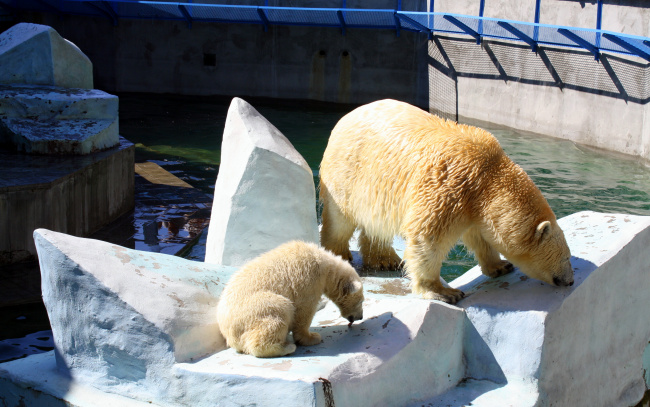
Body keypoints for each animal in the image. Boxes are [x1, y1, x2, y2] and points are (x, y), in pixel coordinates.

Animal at [318, 99, 572, 304]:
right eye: (567, 257)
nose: (569, 280)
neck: (489, 176)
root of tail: (344, 118)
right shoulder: (449, 188)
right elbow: (428, 239)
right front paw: (443, 292)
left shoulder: (474, 205)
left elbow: (480, 237)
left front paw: (500, 266)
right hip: (348, 175)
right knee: (340, 222)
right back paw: (340, 255)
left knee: (376, 225)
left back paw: (384, 260)